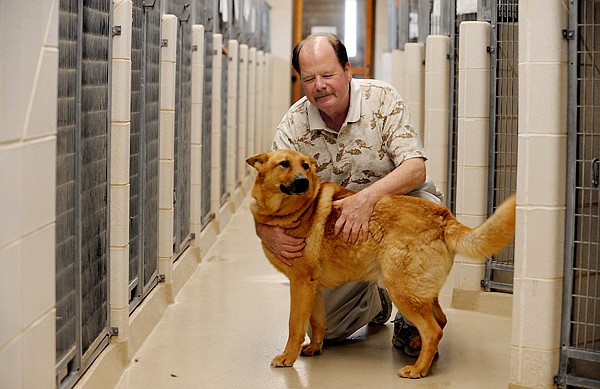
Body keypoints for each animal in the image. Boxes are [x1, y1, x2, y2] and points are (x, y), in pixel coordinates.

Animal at [246, 149, 516, 378]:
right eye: (284, 164)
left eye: (305, 166)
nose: (303, 181)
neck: (298, 210)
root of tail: (443, 217)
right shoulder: (313, 287)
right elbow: (318, 321)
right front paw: (315, 347)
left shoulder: (301, 284)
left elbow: (295, 325)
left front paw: (287, 357)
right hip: (419, 291)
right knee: (441, 320)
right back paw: (417, 346)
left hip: (401, 290)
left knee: (433, 330)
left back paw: (419, 369)